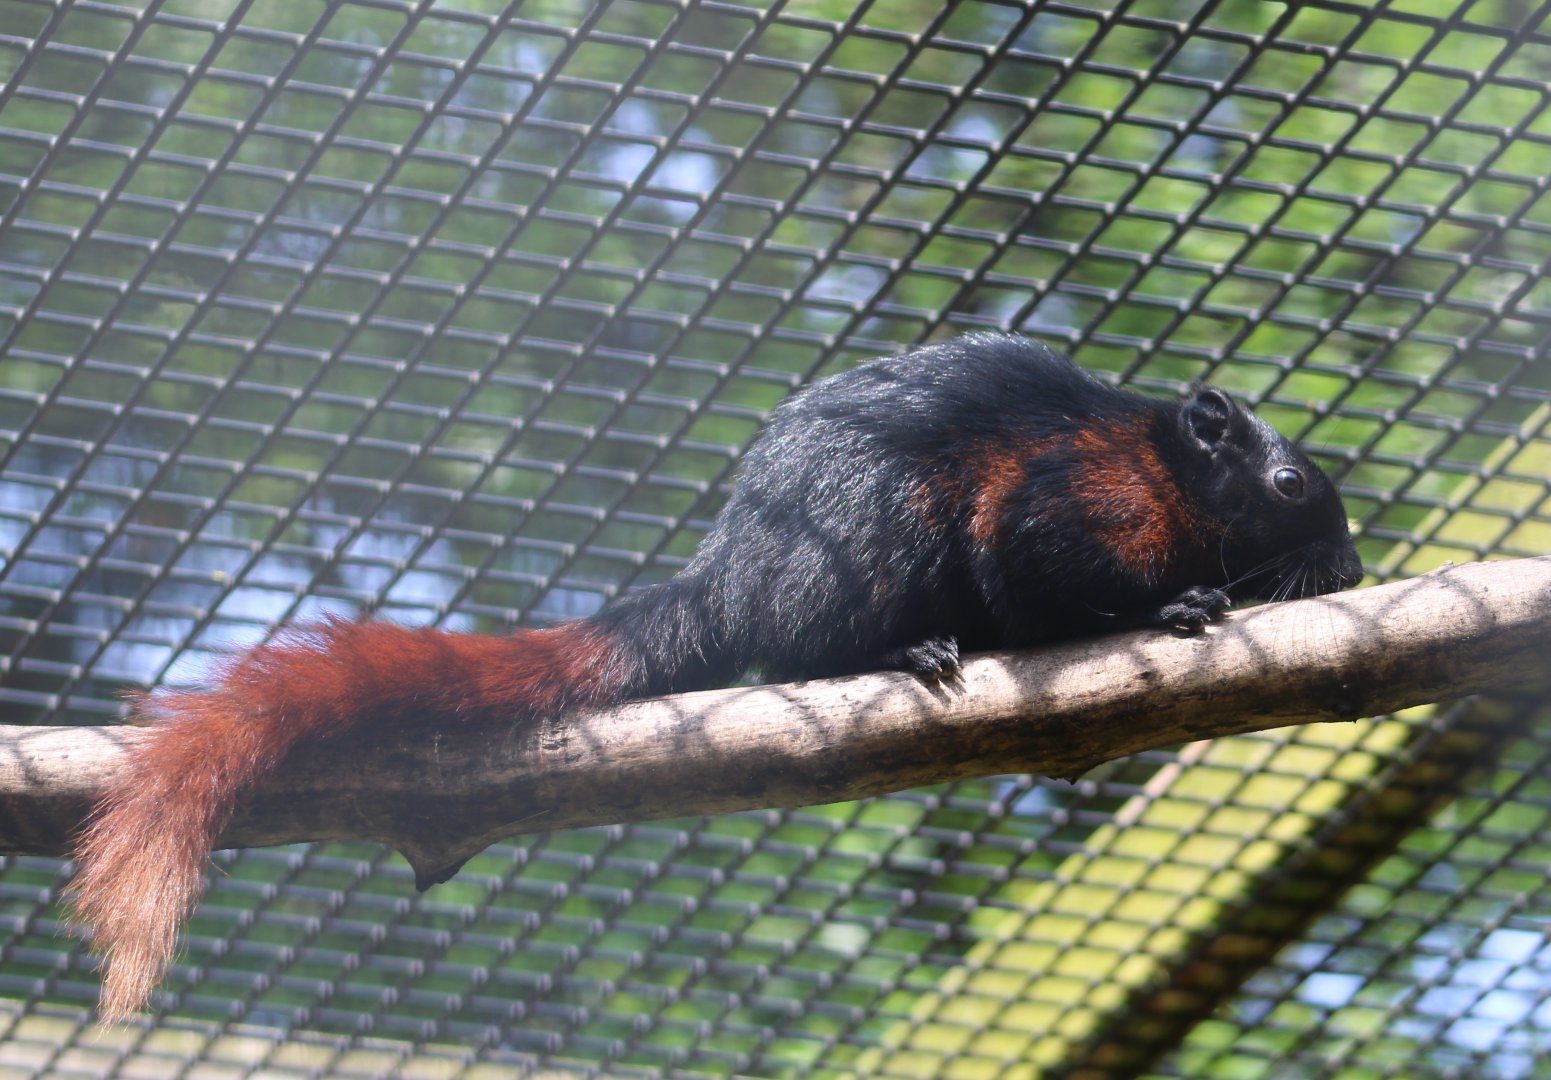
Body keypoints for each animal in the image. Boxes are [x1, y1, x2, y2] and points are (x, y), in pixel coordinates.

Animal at [69, 333, 1363, 1019]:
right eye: (1293, 482)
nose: (1351, 565)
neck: (1168, 478)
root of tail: (730, 575)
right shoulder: (1069, 496)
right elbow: (1036, 574)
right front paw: (1173, 606)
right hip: (873, 531)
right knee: (810, 646)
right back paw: (908, 650)